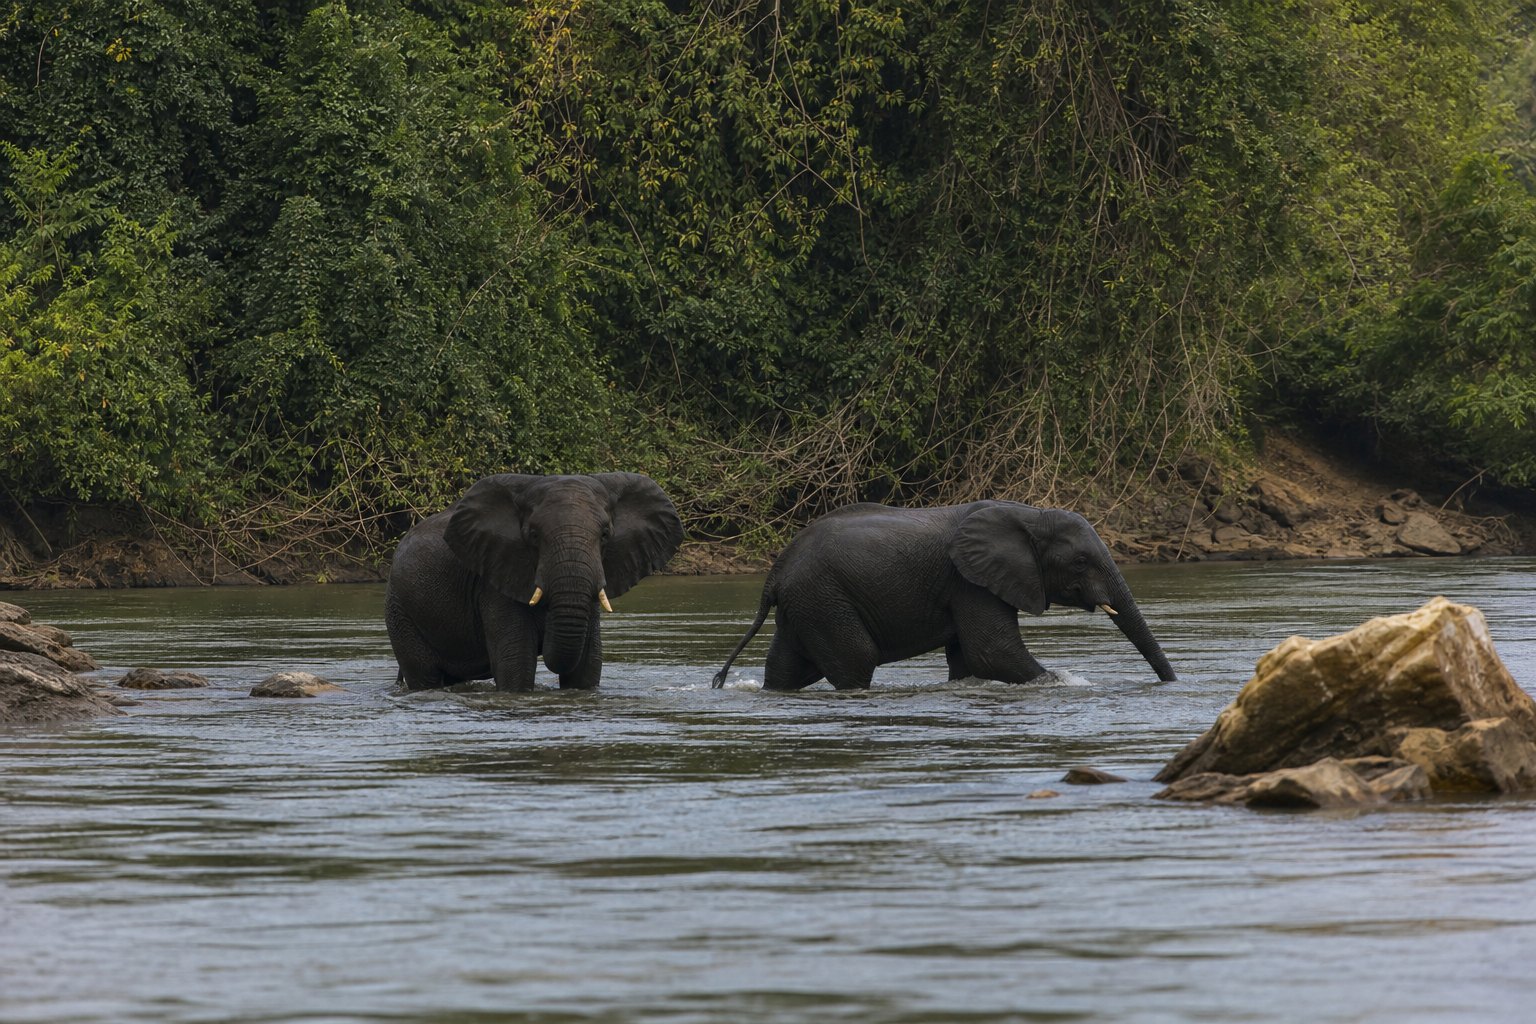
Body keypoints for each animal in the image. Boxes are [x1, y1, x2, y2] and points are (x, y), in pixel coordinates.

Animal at [386, 472, 683, 691]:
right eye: (534, 535)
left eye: (605, 534)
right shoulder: (494, 579)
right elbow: (516, 666)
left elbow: (587, 666)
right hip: (400, 610)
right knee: (424, 676)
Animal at [712, 501, 1176, 690]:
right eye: (1080, 562)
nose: (1170, 683)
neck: (1028, 513)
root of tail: (774, 573)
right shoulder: (968, 580)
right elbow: (993, 652)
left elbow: (969, 661)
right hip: (824, 599)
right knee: (856, 660)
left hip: (805, 605)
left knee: (786, 669)